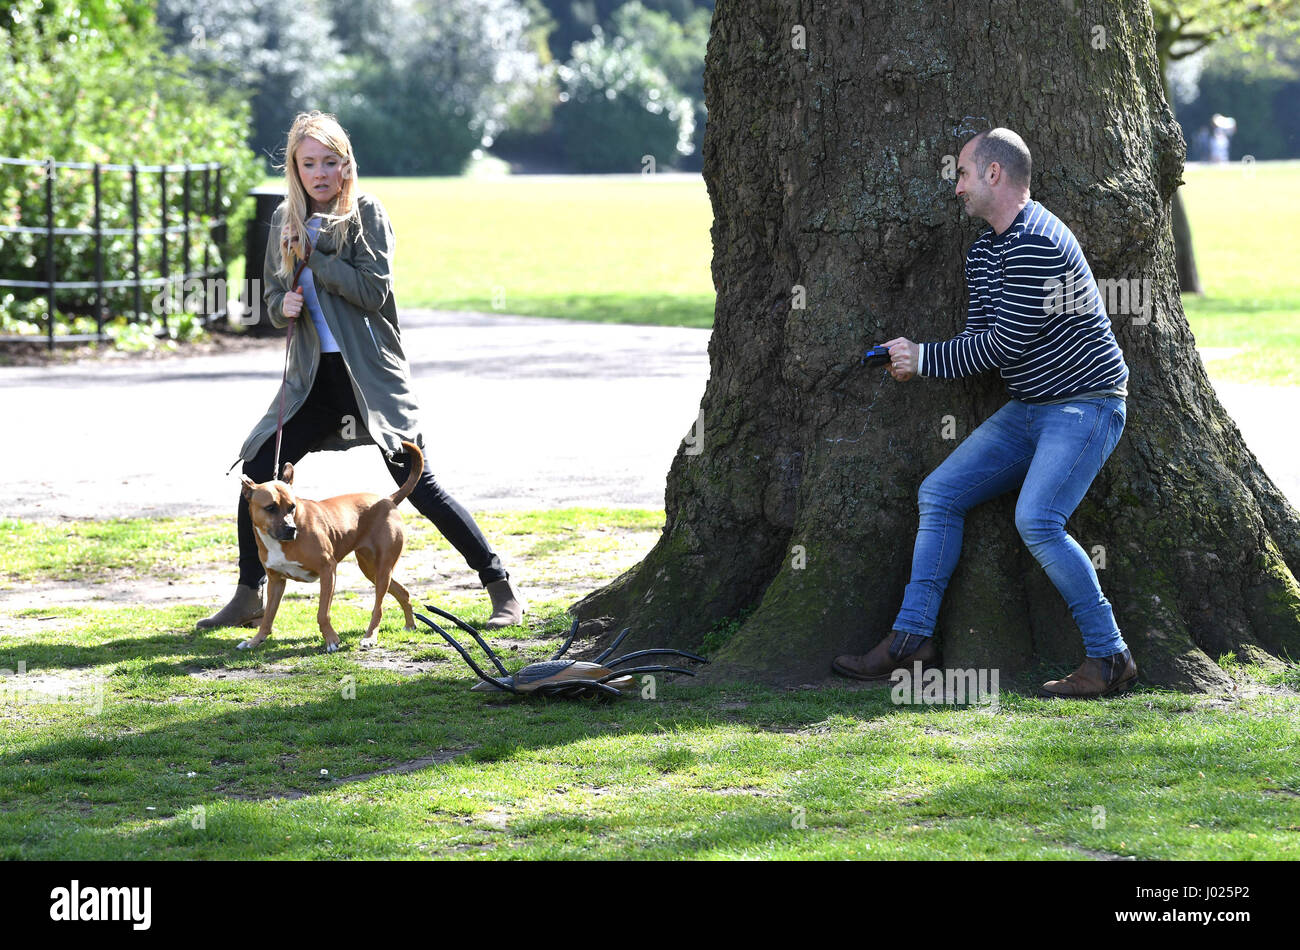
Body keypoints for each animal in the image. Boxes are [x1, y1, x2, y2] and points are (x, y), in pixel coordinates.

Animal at [236, 439, 423, 654]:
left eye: (292, 507)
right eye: (270, 508)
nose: (291, 529)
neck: (280, 542)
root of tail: (388, 499)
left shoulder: (328, 570)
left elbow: (322, 613)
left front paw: (331, 640)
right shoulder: (276, 581)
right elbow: (267, 618)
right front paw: (255, 641)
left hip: (383, 568)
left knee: (379, 608)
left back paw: (370, 637)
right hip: (371, 570)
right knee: (403, 592)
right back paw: (409, 625)